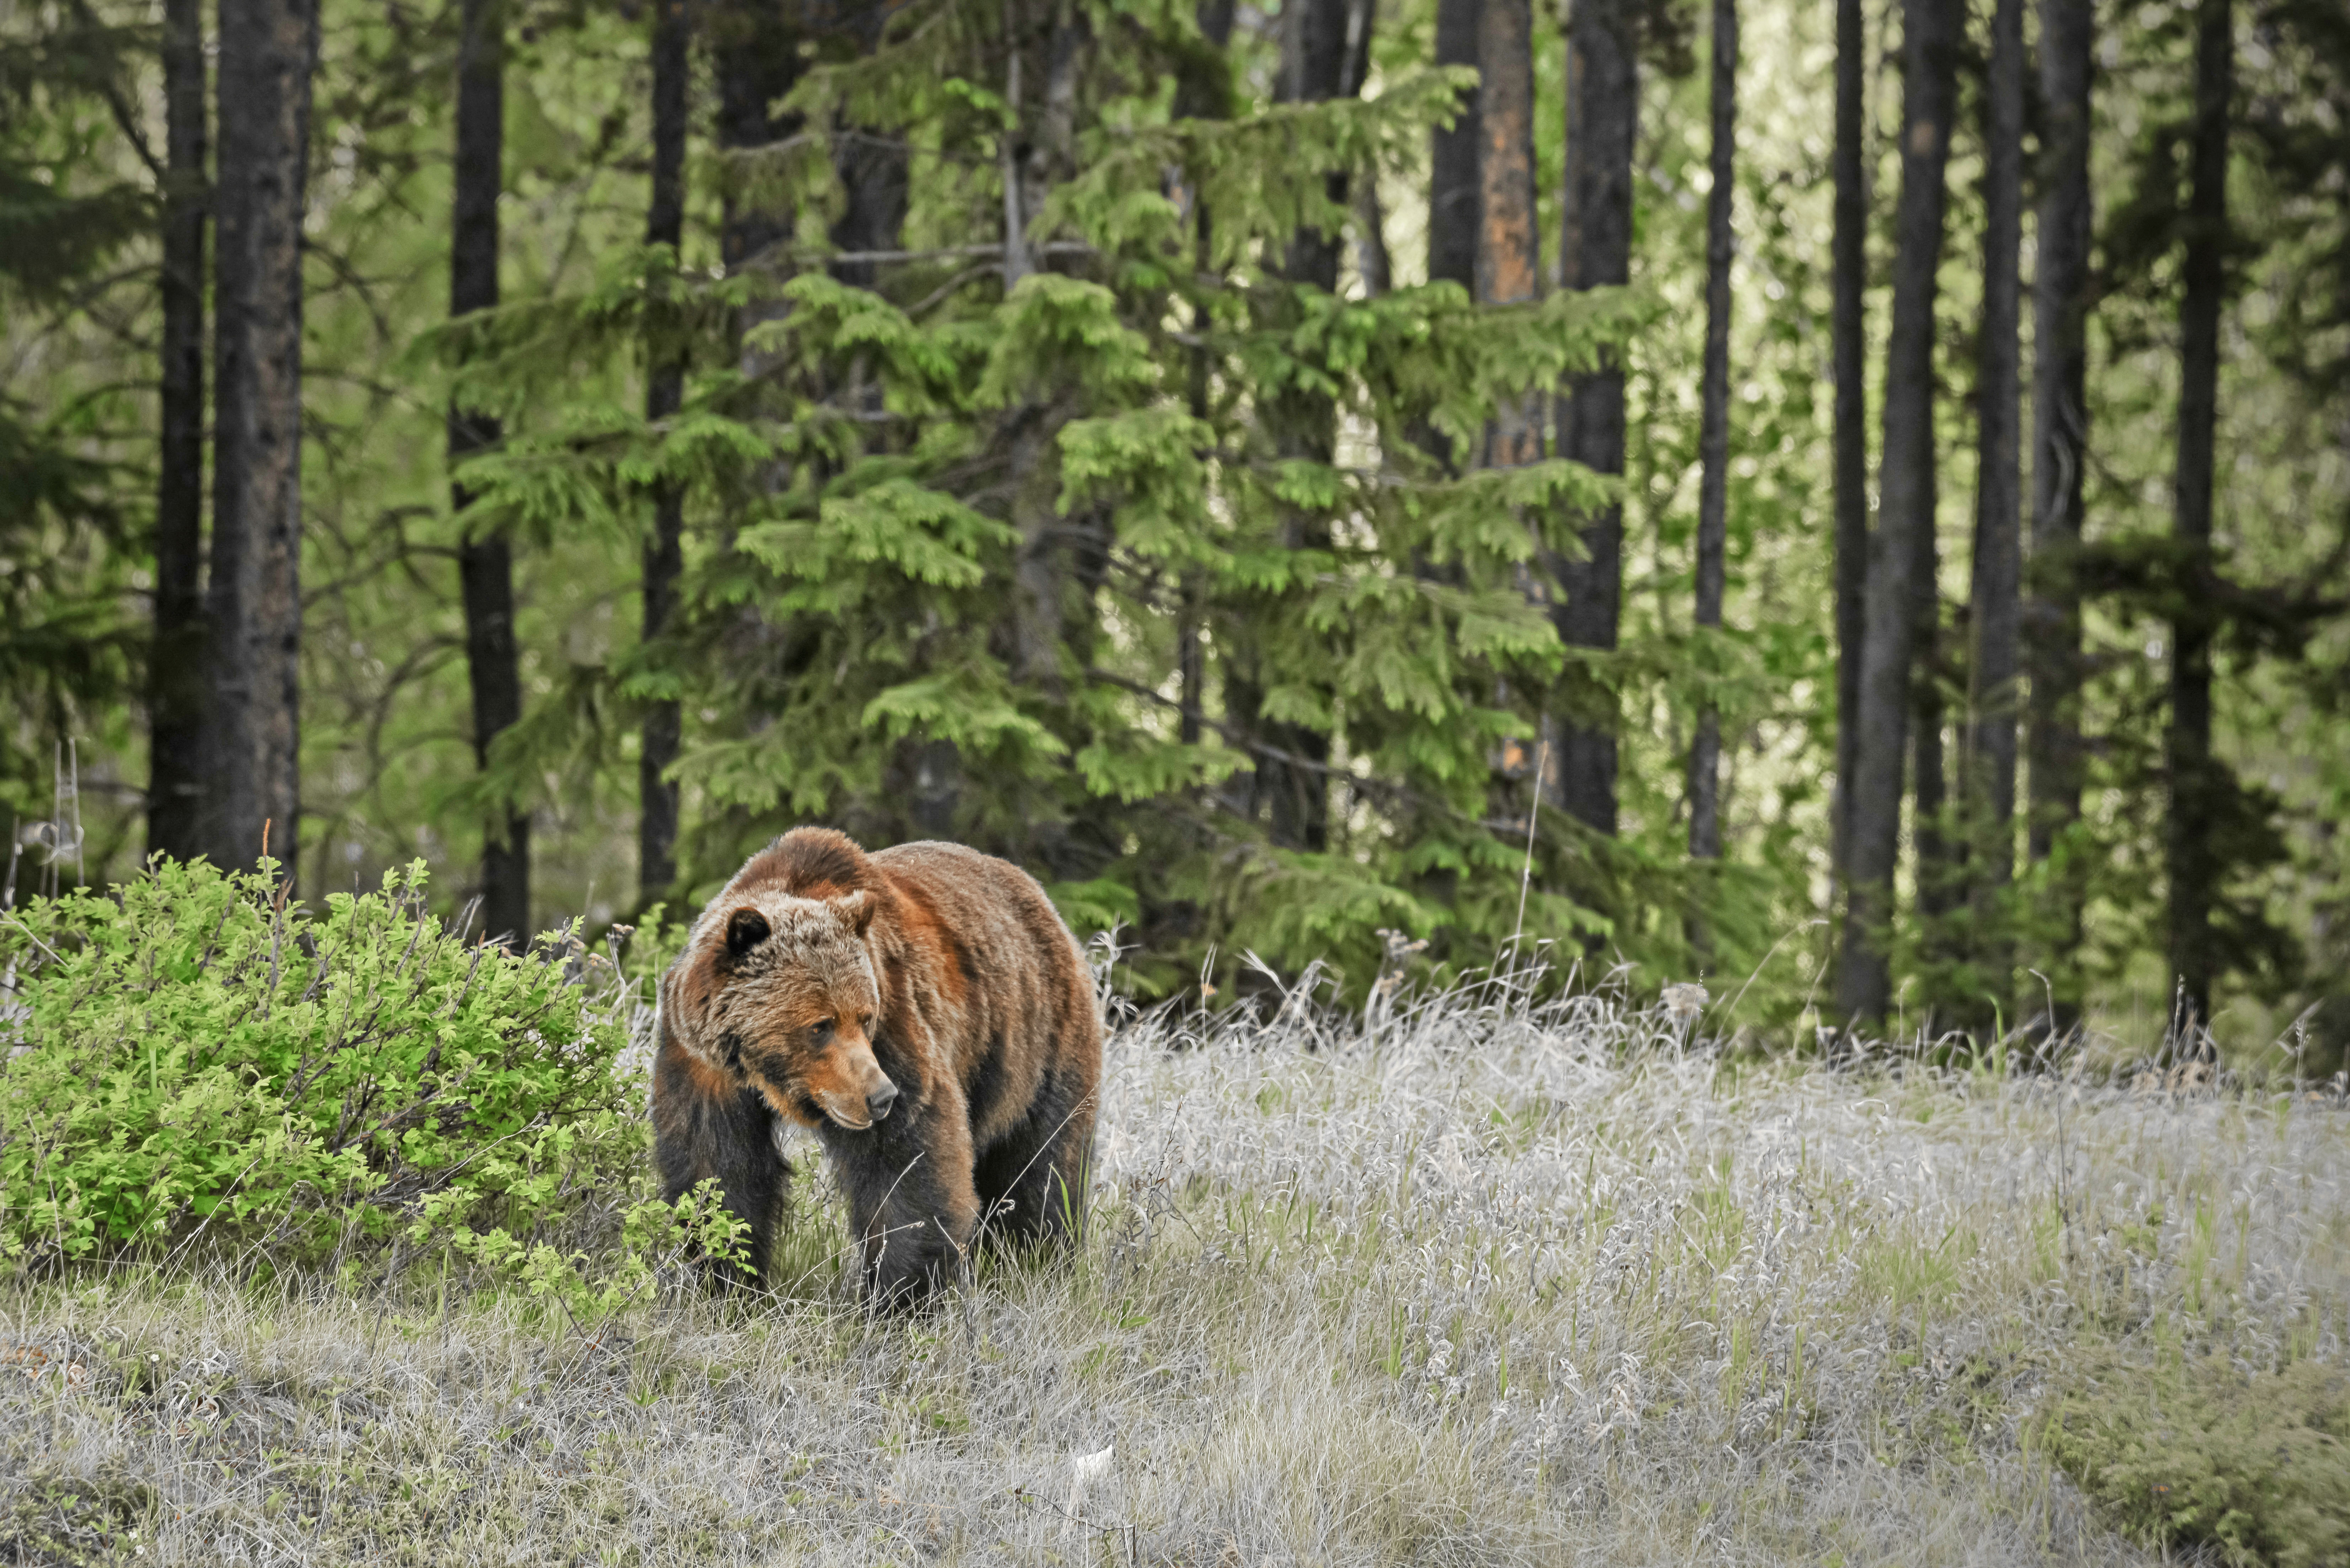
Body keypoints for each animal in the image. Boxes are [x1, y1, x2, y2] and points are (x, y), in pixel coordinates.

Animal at [650, 827, 1103, 1303]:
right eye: (821, 1025)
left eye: (864, 1017)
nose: (880, 1097)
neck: (764, 1075)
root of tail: (1042, 901)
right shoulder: (702, 1064)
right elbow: (717, 1170)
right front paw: (723, 1285)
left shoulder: (897, 1028)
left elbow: (907, 1166)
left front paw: (902, 1294)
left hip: (1037, 1044)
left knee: (1042, 1166)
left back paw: (1038, 1260)